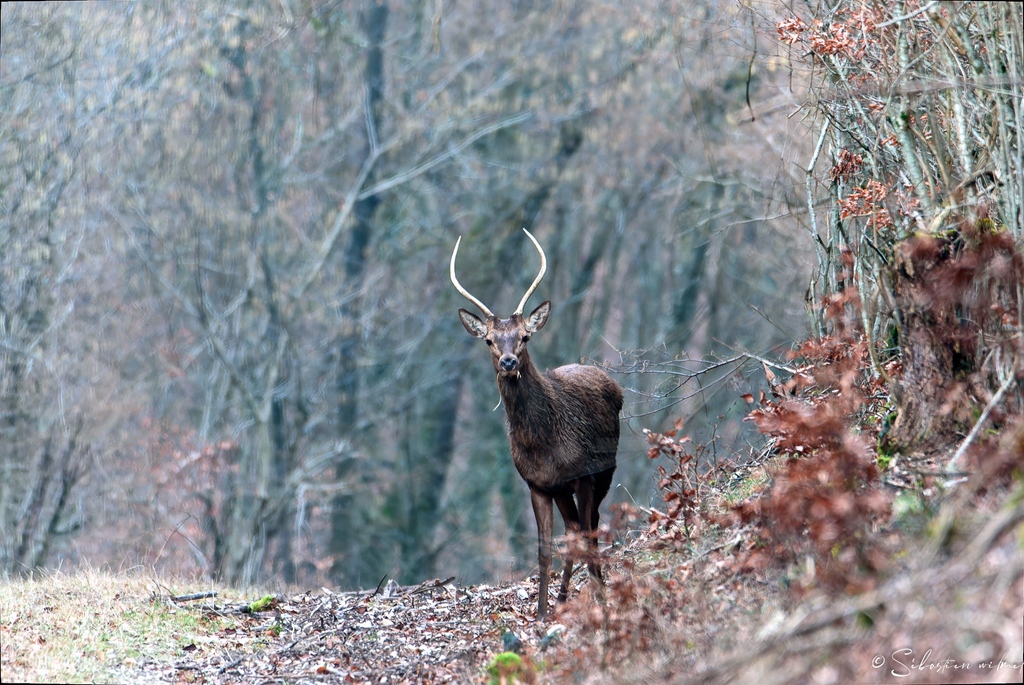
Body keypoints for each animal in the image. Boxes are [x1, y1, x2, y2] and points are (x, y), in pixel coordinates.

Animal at [450, 227, 622, 618]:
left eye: (524, 336)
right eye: (489, 340)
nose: (509, 362)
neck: (545, 444)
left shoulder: (583, 475)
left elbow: (587, 538)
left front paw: (603, 604)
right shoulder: (538, 484)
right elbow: (544, 550)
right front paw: (542, 612)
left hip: (606, 472)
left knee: (588, 529)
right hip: (562, 490)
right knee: (573, 529)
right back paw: (560, 600)